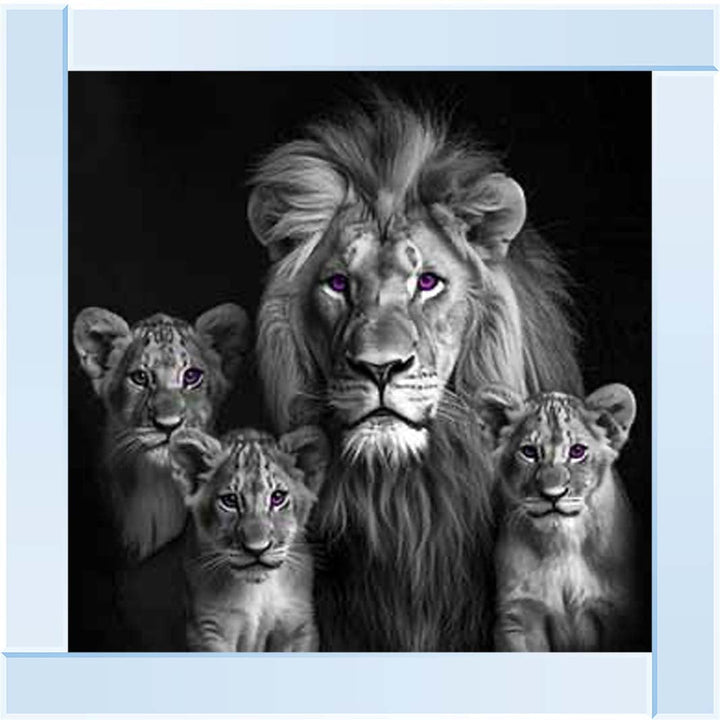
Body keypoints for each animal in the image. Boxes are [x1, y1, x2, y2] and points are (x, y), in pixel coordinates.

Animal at [169, 426, 328, 652]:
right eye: (230, 500)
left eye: (277, 497)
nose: (257, 549)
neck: (258, 590)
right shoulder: (208, 630)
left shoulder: (298, 626)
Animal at [475, 383, 638, 651]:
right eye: (529, 452)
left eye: (577, 451)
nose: (553, 494)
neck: (562, 543)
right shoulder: (519, 615)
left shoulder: (618, 613)